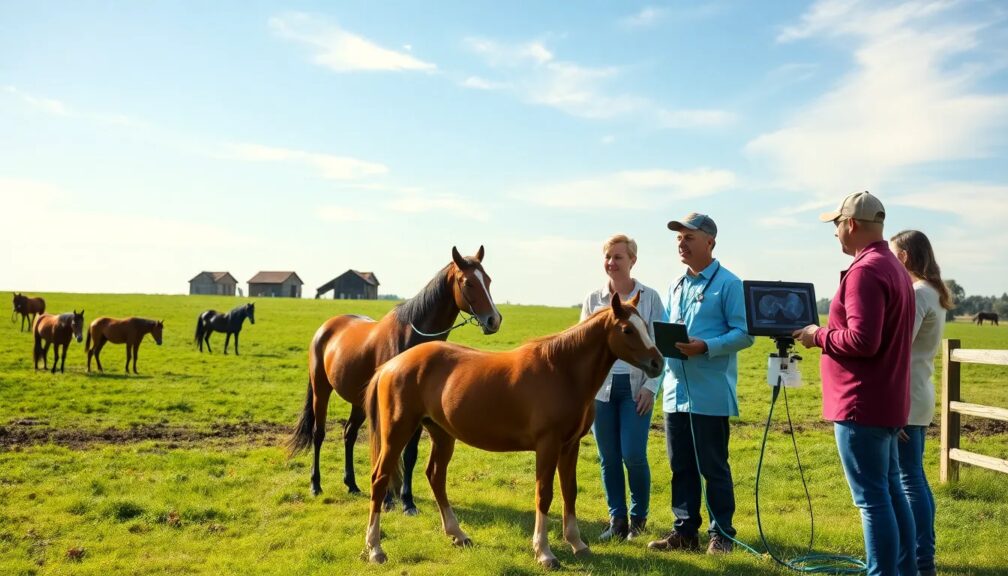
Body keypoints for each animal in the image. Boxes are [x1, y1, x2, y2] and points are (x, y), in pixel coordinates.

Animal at [287, 246, 503, 514]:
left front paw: (407, 500)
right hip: (321, 390)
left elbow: (409, 454)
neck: (411, 338)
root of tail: (326, 328)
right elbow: (386, 449)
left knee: (349, 434)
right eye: (468, 282)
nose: (494, 320)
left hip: (359, 401)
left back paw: (352, 484)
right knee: (319, 434)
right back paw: (316, 485)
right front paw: (388, 499)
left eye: (489, 280)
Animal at [363, 292, 663, 568]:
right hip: (397, 433)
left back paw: (458, 534)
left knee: (435, 476)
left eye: (646, 326)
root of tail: (390, 365)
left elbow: (570, 491)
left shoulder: (570, 445)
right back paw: (375, 549)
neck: (562, 370)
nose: (658, 363)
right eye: (627, 329)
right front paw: (544, 552)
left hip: (442, 434)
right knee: (380, 479)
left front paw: (577, 544)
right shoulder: (548, 445)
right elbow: (544, 493)